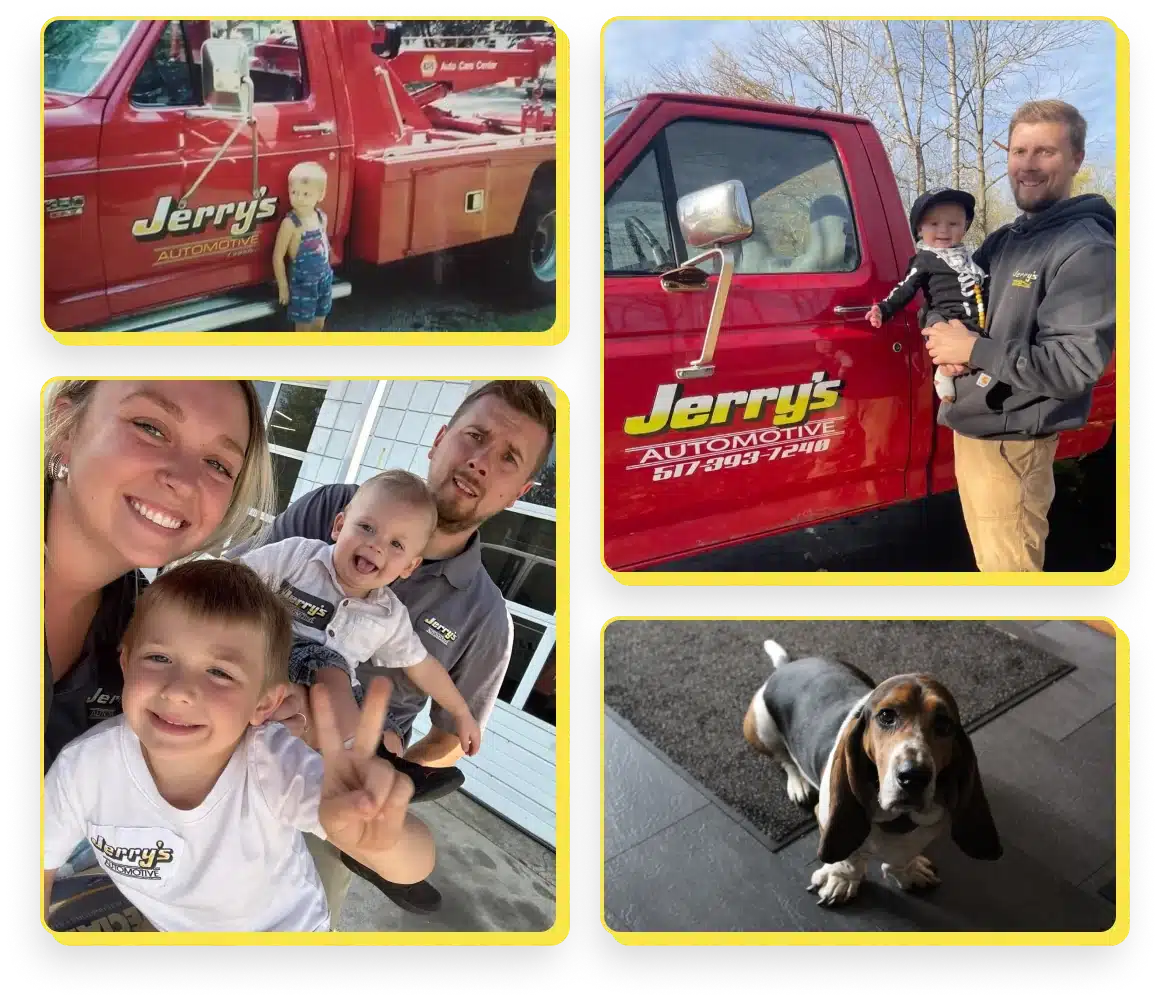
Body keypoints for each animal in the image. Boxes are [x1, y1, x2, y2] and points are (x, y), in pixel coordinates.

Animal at [747, 640, 1002, 909]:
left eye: (944, 724)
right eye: (887, 716)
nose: (913, 777)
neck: (898, 819)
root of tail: (787, 665)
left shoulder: (928, 826)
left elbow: (904, 854)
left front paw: (908, 871)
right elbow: (850, 859)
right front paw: (841, 880)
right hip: (761, 728)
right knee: (784, 758)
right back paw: (798, 784)